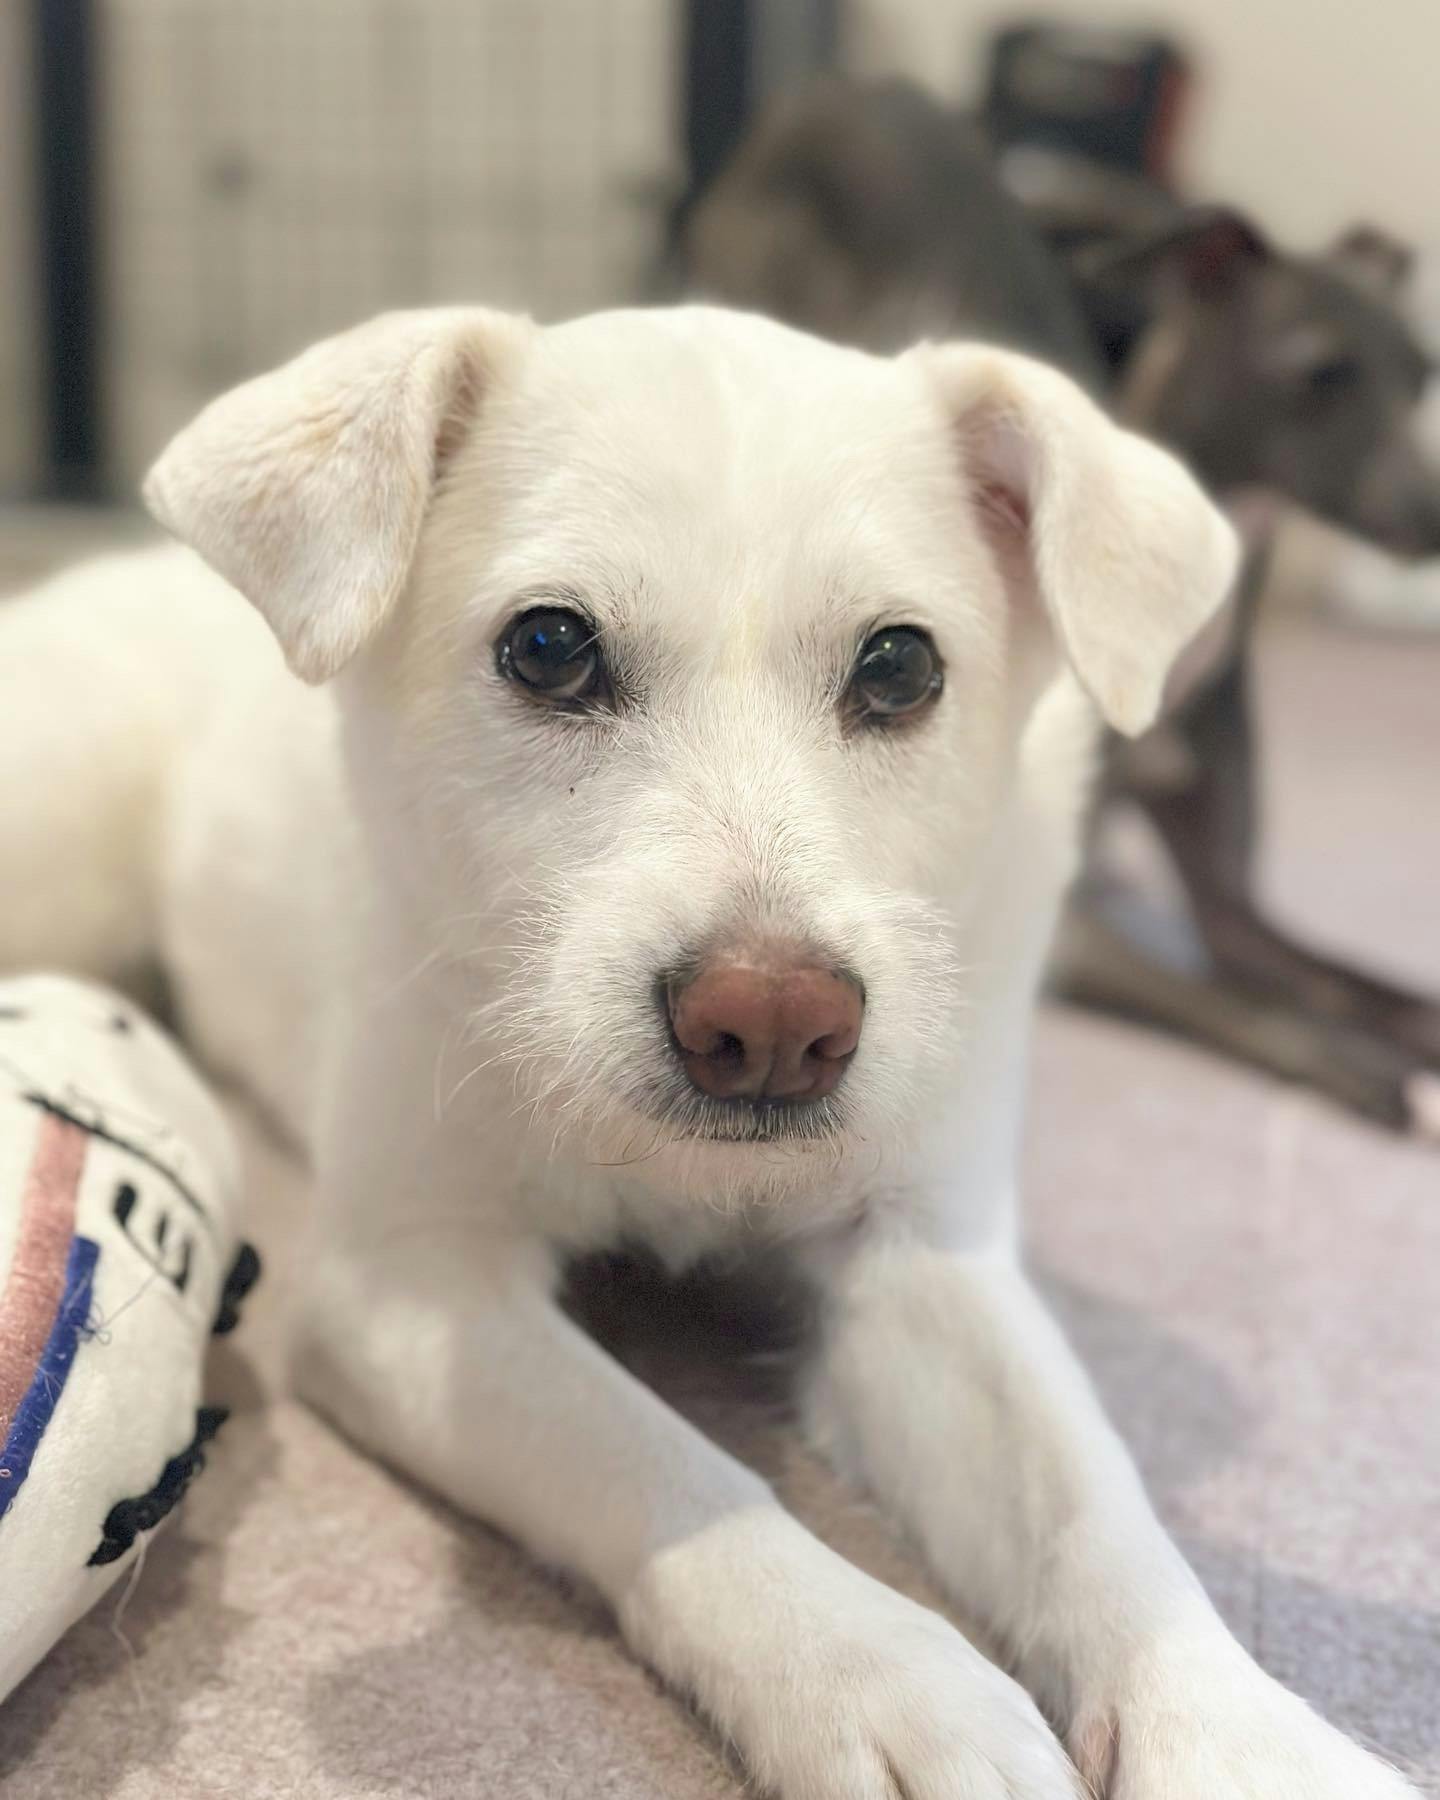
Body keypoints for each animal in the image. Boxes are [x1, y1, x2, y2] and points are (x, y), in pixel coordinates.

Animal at [0, 304, 1420, 1799]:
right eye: (548, 646)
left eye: (901, 666)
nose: (775, 1029)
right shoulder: (409, 1290)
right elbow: (665, 1465)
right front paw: (885, 1676)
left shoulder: (922, 1258)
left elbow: (1093, 1500)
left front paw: (1243, 1735)